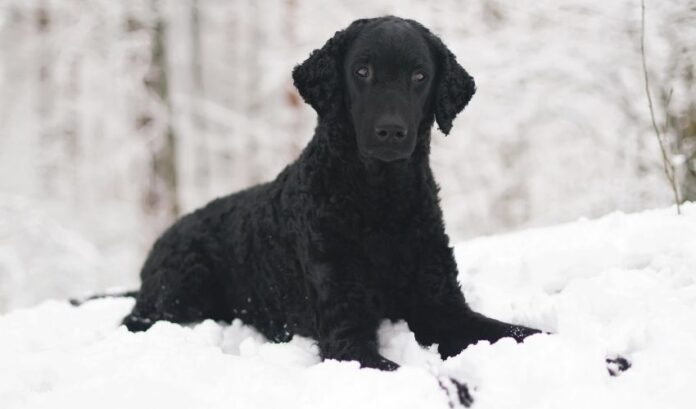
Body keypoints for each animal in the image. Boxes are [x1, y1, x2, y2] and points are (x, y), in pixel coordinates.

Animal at [123, 16, 540, 370]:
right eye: (362, 71)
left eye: (420, 75)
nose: (391, 131)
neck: (381, 202)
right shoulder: (346, 332)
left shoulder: (444, 309)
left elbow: (516, 331)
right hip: (181, 288)